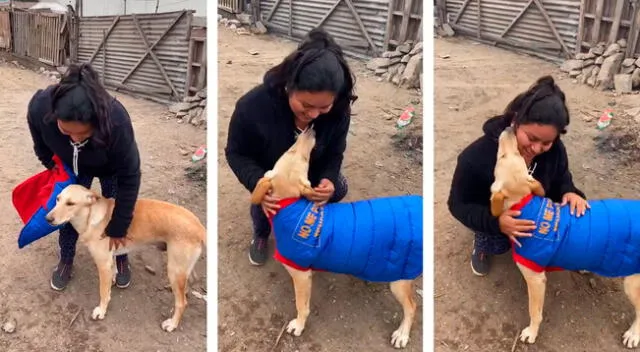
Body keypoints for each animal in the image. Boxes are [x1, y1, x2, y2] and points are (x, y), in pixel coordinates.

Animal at [46, 184, 206, 332]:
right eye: (57, 199)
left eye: (70, 203)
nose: (47, 218)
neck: (91, 216)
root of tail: (200, 227)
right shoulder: (110, 260)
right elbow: (110, 280)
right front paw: (112, 283)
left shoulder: (103, 264)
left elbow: (103, 292)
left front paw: (101, 311)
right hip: (181, 269)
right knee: (188, 285)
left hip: (174, 269)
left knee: (182, 303)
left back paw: (172, 324)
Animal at [251, 127, 424, 350]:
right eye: (292, 151)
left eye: (302, 157)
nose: (311, 129)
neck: (289, 207)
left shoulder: (301, 275)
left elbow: (302, 305)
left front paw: (299, 325)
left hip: (400, 279)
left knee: (412, 306)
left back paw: (402, 334)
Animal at [492, 126, 640, 346]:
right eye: (512, 154)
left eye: (504, 156)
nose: (510, 128)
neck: (525, 204)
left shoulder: (535, 279)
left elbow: (535, 312)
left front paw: (532, 332)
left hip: (632, 282)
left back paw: (634, 334)